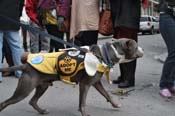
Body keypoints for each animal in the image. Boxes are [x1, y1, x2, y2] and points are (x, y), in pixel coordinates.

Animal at [0, 38, 143, 116]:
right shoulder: (85, 84)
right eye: (136, 47)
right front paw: (84, 113)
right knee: (6, 102)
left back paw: (41, 111)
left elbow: (107, 94)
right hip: (24, 89)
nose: (142, 49)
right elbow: (83, 101)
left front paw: (115, 104)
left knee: (32, 101)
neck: (105, 54)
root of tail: (26, 65)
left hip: (43, 85)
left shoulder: (96, 83)